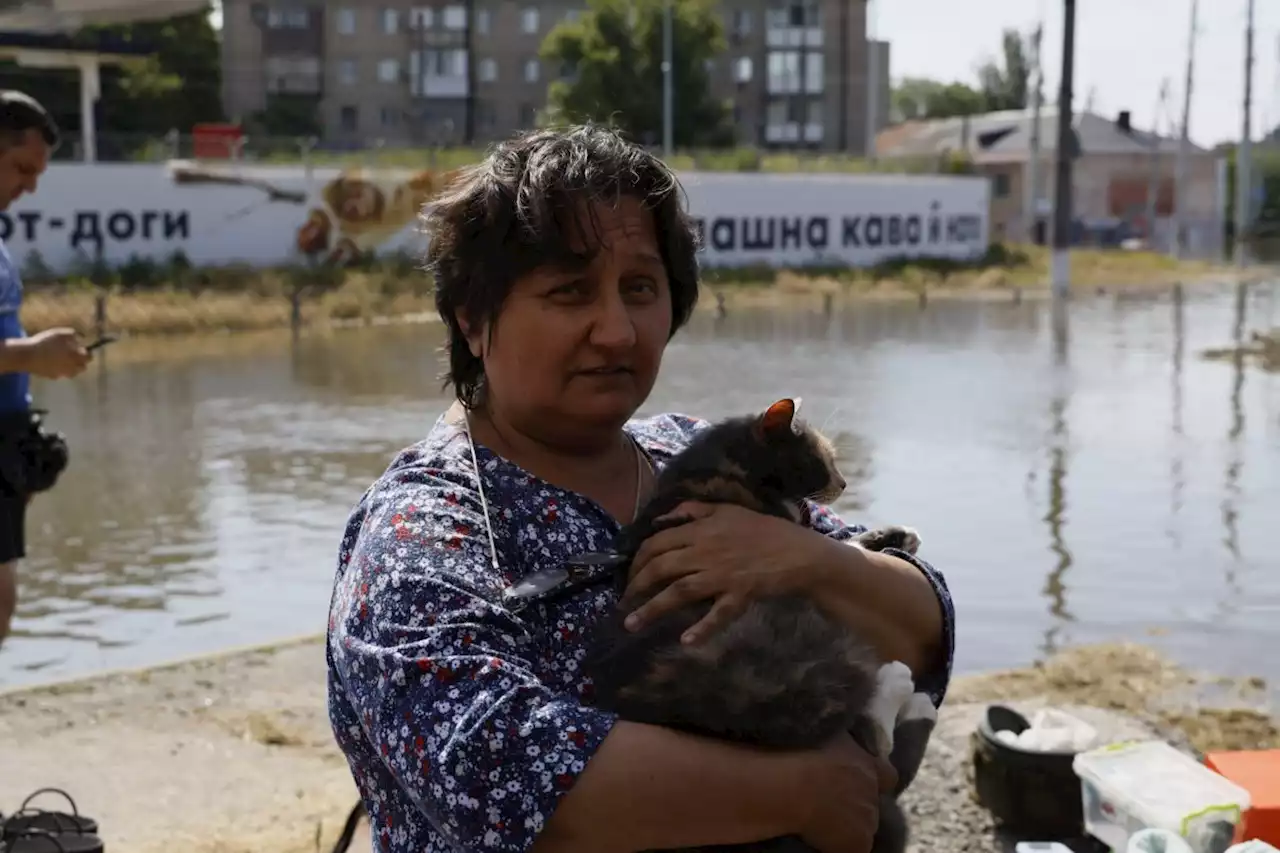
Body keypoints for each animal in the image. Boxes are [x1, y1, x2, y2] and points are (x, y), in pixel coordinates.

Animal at [586, 399, 936, 850]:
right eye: (820, 458)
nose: (843, 483)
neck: (723, 463)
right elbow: (835, 543)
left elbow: (839, 545)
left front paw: (896, 536)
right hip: (803, 658)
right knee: (868, 732)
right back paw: (904, 688)